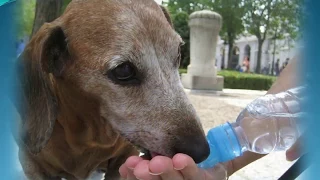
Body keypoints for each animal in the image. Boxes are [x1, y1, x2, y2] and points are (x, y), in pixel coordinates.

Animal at [14, 0, 210, 179]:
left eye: (178, 54)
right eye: (124, 70)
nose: (202, 152)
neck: (88, 138)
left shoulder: (122, 159)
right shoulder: (32, 165)